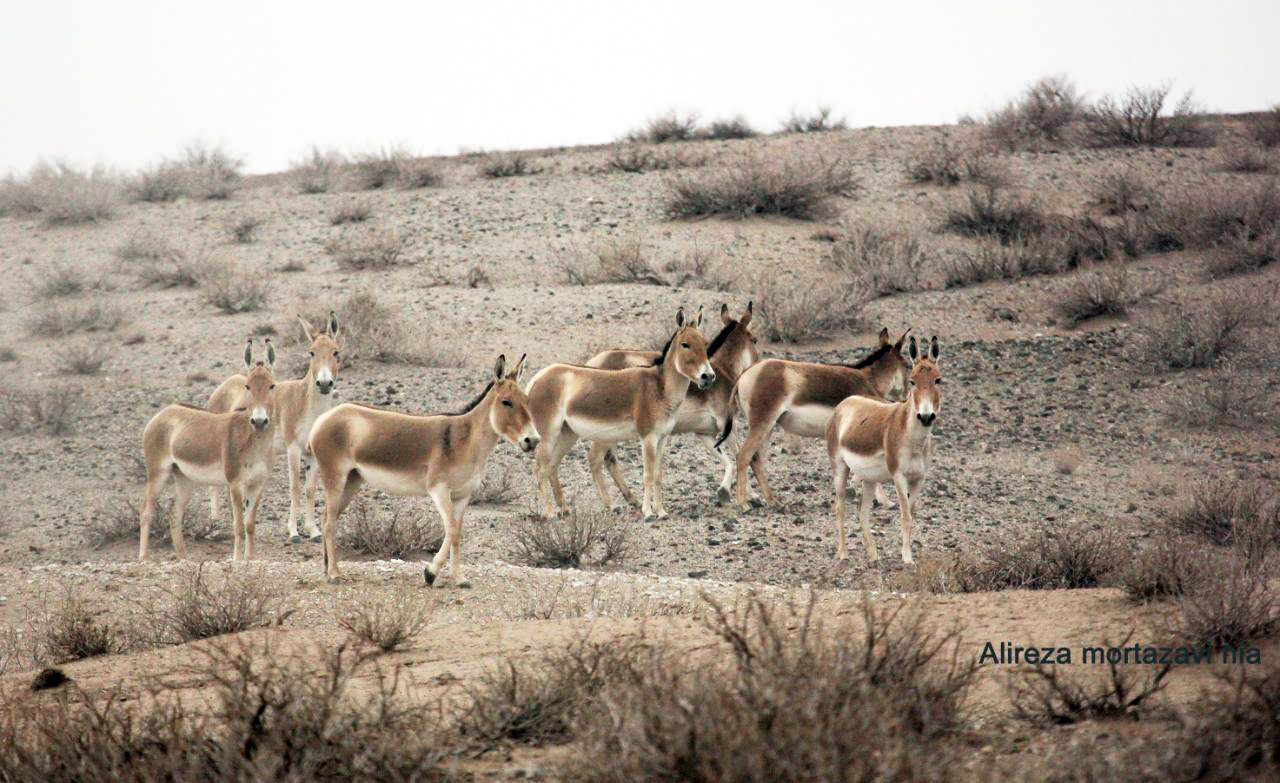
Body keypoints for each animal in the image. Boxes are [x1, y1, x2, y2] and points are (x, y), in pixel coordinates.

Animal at [138, 340, 276, 560]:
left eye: (272, 385)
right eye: (247, 386)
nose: (260, 421)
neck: (254, 443)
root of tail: (163, 413)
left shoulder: (257, 485)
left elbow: (250, 525)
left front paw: (250, 559)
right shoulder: (234, 484)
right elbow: (238, 525)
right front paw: (237, 559)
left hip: (184, 479)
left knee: (174, 513)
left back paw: (184, 558)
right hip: (158, 473)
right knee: (146, 511)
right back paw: (143, 559)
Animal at [207, 308, 343, 542]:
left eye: (335, 352)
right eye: (311, 353)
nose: (325, 384)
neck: (306, 404)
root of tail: (225, 384)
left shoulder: (311, 452)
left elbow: (310, 489)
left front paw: (313, 530)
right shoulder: (293, 448)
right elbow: (295, 487)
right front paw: (294, 532)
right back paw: (215, 520)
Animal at [309, 353, 540, 580]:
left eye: (527, 400)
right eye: (506, 402)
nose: (533, 440)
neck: (465, 441)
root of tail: (324, 418)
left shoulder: (463, 495)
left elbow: (457, 532)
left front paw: (458, 579)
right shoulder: (438, 489)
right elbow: (452, 529)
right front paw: (430, 572)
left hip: (352, 480)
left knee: (328, 517)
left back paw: (327, 567)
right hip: (335, 476)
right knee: (329, 523)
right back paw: (334, 574)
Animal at [586, 303, 757, 504]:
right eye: (755, 340)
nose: (758, 365)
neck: (723, 369)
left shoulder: (704, 433)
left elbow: (728, 460)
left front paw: (726, 491)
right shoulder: (727, 424)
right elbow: (741, 456)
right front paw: (752, 496)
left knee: (609, 458)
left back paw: (632, 499)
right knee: (597, 457)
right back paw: (612, 504)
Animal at [824, 335, 947, 562]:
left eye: (938, 380)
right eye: (912, 381)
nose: (926, 417)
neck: (913, 440)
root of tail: (845, 403)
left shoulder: (919, 479)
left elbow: (912, 514)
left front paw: (907, 553)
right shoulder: (899, 477)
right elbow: (905, 515)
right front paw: (907, 558)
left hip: (869, 478)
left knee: (863, 512)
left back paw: (873, 555)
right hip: (840, 469)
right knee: (840, 507)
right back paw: (843, 553)